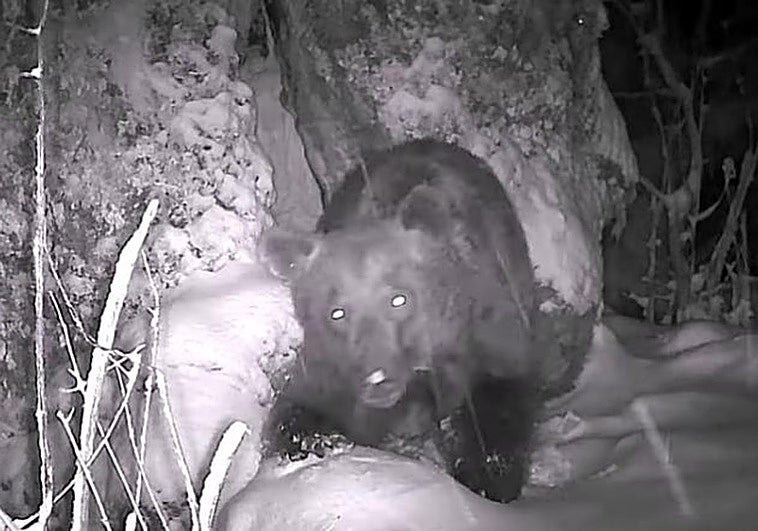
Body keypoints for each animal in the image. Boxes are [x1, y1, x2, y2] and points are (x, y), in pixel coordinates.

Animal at [261, 139, 540, 503]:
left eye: (399, 298)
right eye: (337, 311)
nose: (377, 378)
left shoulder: (485, 330)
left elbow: (496, 410)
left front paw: (489, 478)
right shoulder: (330, 366)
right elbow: (302, 408)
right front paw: (312, 441)